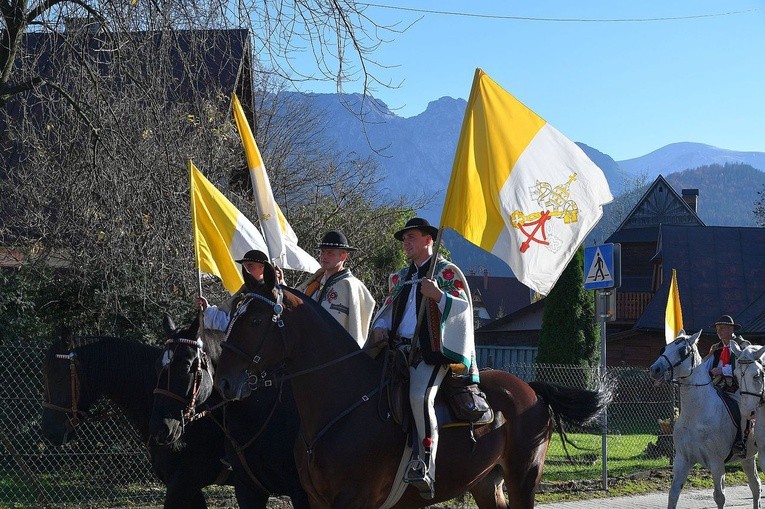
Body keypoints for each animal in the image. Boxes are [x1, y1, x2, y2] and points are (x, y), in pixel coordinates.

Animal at [213, 286, 608, 508]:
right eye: (233, 316)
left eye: (255, 321)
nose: (224, 382)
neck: (344, 405)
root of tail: (530, 390)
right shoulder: (315, 498)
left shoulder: (351, 499)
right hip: (485, 482)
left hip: (524, 478)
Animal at [648, 330, 760, 508]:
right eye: (664, 348)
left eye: (683, 351)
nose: (655, 369)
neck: (696, 415)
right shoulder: (682, 460)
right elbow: (673, 495)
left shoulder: (716, 463)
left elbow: (719, 497)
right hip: (748, 458)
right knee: (755, 486)